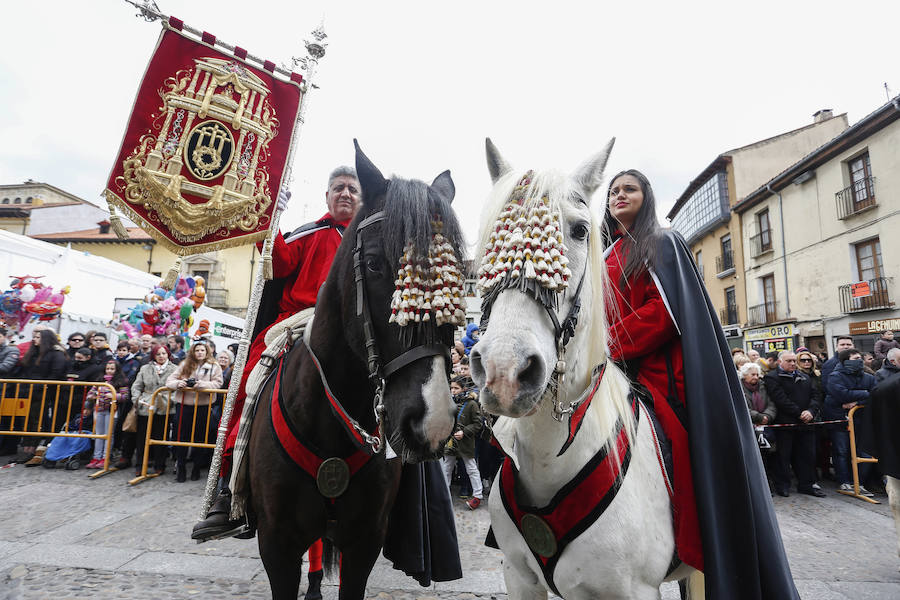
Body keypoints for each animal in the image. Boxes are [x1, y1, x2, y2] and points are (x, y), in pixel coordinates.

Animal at [472, 139, 704, 600]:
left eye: (581, 230)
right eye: (493, 235)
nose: (505, 371)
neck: (551, 460)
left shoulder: (633, 591)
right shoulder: (519, 576)